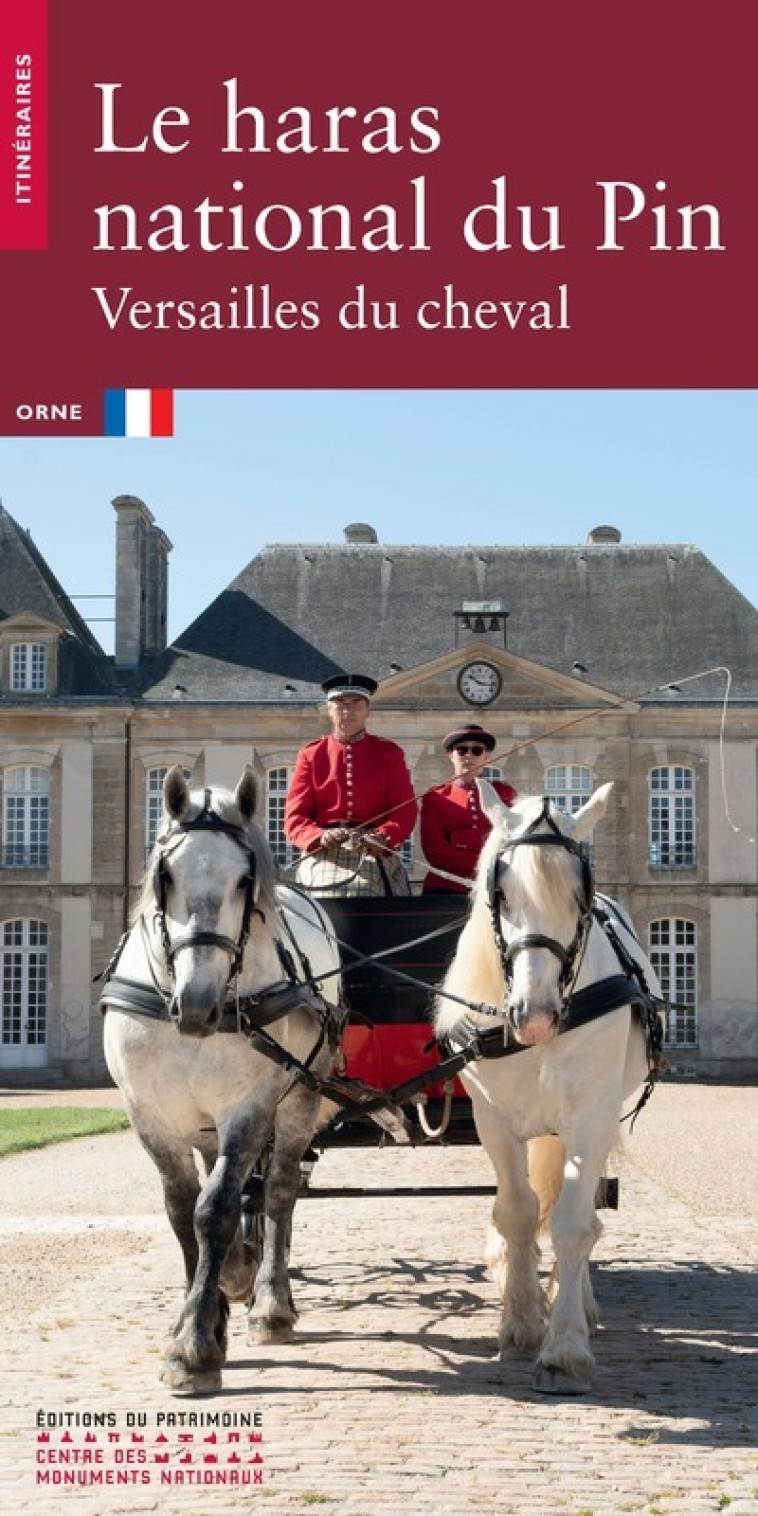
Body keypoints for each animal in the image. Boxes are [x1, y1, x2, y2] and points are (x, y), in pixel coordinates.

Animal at [99, 770, 342, 1394]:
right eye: (166, 876)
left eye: (244, 881)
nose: (198, 1006)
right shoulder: (150, 1115)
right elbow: (184, 1210)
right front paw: (203, 1313)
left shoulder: (249, 1108)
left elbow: (216, 1210)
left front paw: (195, 1346)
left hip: (300, 1099)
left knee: (279, 1190)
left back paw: (271, 1305)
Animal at [436, 788, 660, 1388]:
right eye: (501, 893)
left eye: (580, 898)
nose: (534, 1017)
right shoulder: (493, 1121)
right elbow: (516, 1212)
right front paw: (519, 1323)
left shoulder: (591, 1117)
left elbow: (572, 1223)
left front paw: (565, 1343)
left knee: (575, 1211)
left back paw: (576, 1299)